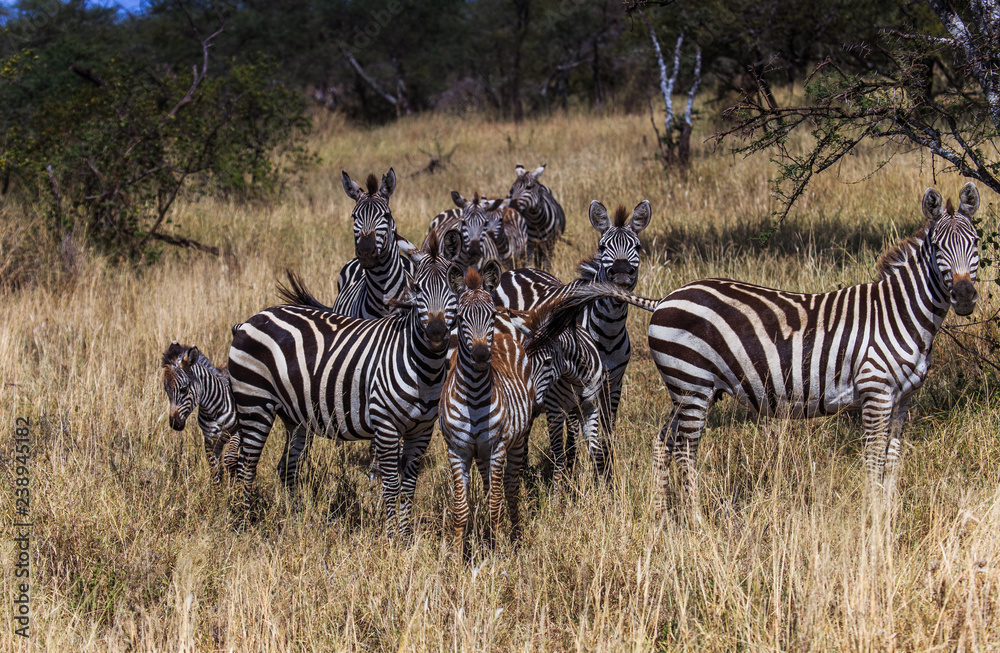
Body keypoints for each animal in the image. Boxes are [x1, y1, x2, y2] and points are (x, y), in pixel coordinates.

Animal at [162, 342, 240, 485]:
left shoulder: (237, 432)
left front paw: (235, 488)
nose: (175, 424)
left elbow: (230, 460)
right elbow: (214, 470)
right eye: (166, 391)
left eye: (183, 389)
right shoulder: (209, 439)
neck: (213, 410)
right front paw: (219, 491)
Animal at [228, 230, 463, 538]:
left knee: (286, 466)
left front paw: (406, 536)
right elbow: (391, 485)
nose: (436, 333)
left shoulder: (421, 430)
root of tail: (250, 320)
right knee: (247, 465)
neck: (424, 369)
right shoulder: (386, 426)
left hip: (295, 415)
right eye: (416, 288)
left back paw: (298, 519)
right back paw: (244, 525)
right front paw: (392, 538)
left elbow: (409, 487)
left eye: (453, 287)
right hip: (254, 403)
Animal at [493, 200, 652, 482]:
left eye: (637, 247)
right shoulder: (564, 391)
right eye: (602, 247)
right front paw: (570, 471)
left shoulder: (614, 383)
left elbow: (607, 432)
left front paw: (608, 473)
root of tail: (514, 269)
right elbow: (572, 436)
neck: (608, 332)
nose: (622, 275)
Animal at [646, 183, 980, 514]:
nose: (964, 295)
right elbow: (874, 459)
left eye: (976, 242)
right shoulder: (876, 392)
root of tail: (664, 299)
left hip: (687, 389)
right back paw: (696, 518)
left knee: (664, 442)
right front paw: (872, 517)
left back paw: (663, 516)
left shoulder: (903, 400)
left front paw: (888, 514)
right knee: (686, 449)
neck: (900, 313)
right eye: (937, 247)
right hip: (692, 384)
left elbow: (893, 460)